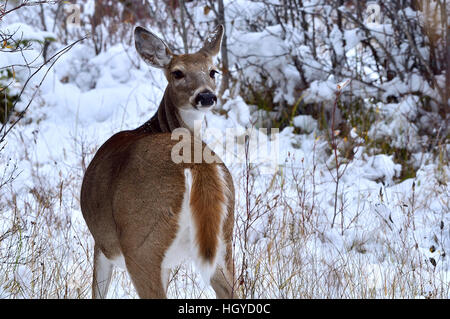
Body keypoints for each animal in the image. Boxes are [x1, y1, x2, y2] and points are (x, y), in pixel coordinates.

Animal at [80, 25, 236, 300]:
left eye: (212, 71)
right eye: (177, 73)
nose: (206, 96)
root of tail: (196, 162)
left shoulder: (103, 243)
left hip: (142, 240)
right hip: (225, 240)